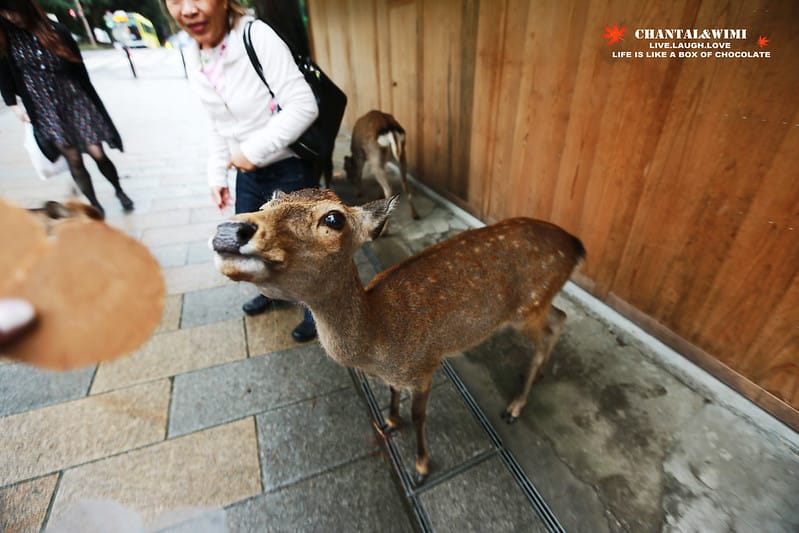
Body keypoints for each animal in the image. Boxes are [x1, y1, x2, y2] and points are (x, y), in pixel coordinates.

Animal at [210, 188, 585, 482]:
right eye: (267, 201)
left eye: (334, 218)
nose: (229, 229)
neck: (379, 341)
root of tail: (576, 245)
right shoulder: (398, 373)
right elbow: (392, 391)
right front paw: (390, 421)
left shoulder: (425, 366)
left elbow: (419, 416)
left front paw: (421, 466)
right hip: (537, 305)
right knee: (561, 317)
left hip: (528, 307)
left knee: (551, 328)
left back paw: (515, 406)